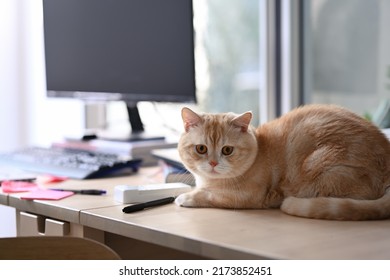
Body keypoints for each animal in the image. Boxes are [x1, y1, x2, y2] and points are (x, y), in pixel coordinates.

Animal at [175, 104, 390, 220]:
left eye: (227, 150)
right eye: (201, 149)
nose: (212, 163)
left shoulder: (245, 197)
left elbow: (208, 195)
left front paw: (186, 197)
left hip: (320, 171)